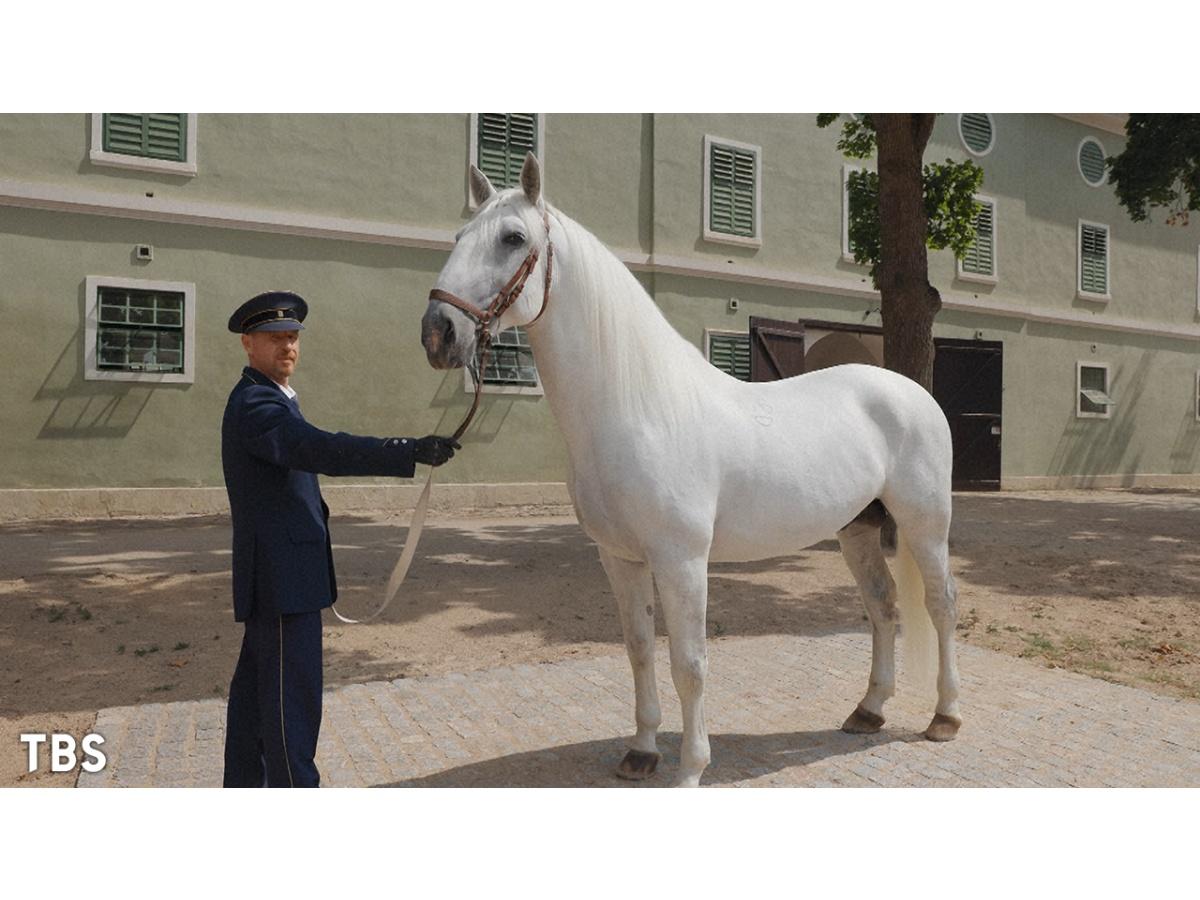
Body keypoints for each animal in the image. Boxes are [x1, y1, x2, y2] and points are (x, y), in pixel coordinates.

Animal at [422, 154, 964, 787]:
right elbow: (639, 649)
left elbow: (689, 663)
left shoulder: (681, 560)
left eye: (513, 238)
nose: (438, 333)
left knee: (941, 605)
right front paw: (641, 751)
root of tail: (910, 392)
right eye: (459, 236)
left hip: (925, 526)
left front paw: (690, 768)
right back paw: (869, 710)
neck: (639, 405)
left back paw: (945, 717)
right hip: (856, 528)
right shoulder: (620, 557)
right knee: (883, 606)